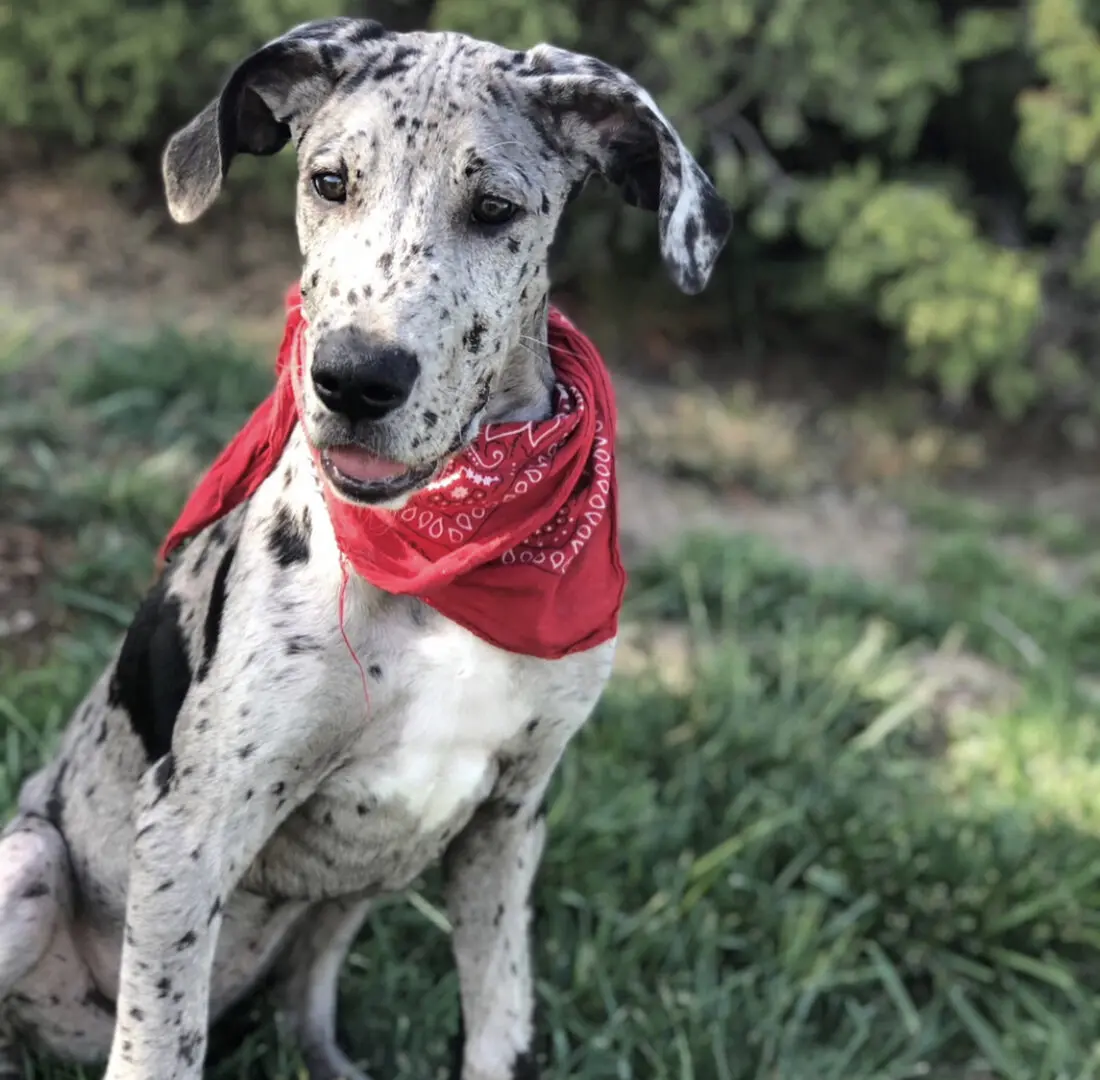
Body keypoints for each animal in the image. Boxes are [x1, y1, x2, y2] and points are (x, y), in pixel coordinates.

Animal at [0, 16, 730, 1080]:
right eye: (328, 181)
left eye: (495, 208)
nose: (354, 378)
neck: (440, 561)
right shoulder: (190, 827)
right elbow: (161, 1045)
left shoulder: (508, 823)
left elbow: (500, 1022)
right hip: (30, 861)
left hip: (350, 899)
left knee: (305, 1007)